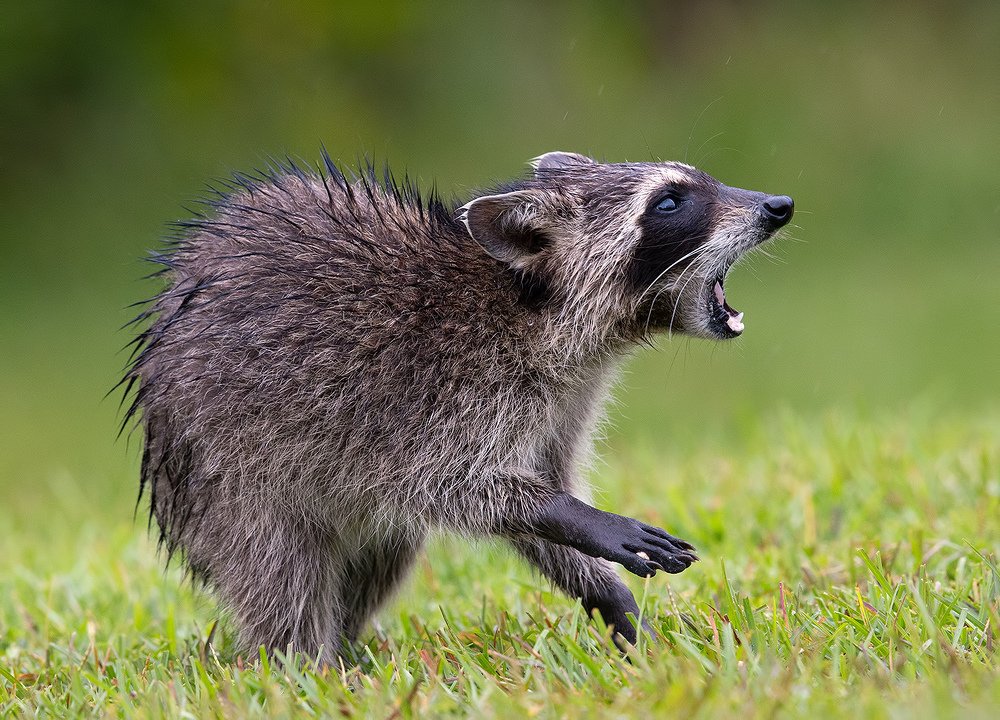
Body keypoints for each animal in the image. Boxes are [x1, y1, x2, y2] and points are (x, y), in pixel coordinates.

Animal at [122, 150, 793, 662]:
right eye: (670, 202)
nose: (777, 205)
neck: (538, 309)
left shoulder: (563, 404)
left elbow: (531, 483)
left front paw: (606, 594)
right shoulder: (435, 390)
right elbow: (447, 483)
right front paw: (575, 517)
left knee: (380, 556)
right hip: (229, 478)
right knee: (281, 574)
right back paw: (304, 664)